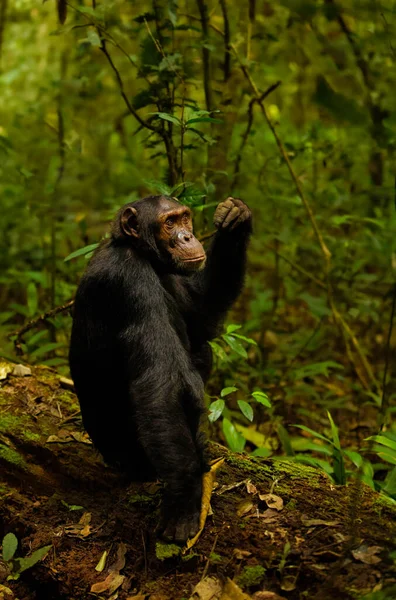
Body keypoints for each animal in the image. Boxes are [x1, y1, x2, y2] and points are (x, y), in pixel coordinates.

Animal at [69, 195, 252, 540]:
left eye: (184, 219)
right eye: (169, 223)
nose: (187, 236)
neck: (142, 253)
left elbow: (201, 318)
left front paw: (236, 218)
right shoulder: (130, 282)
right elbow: (162, 383)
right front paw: (184, 501)